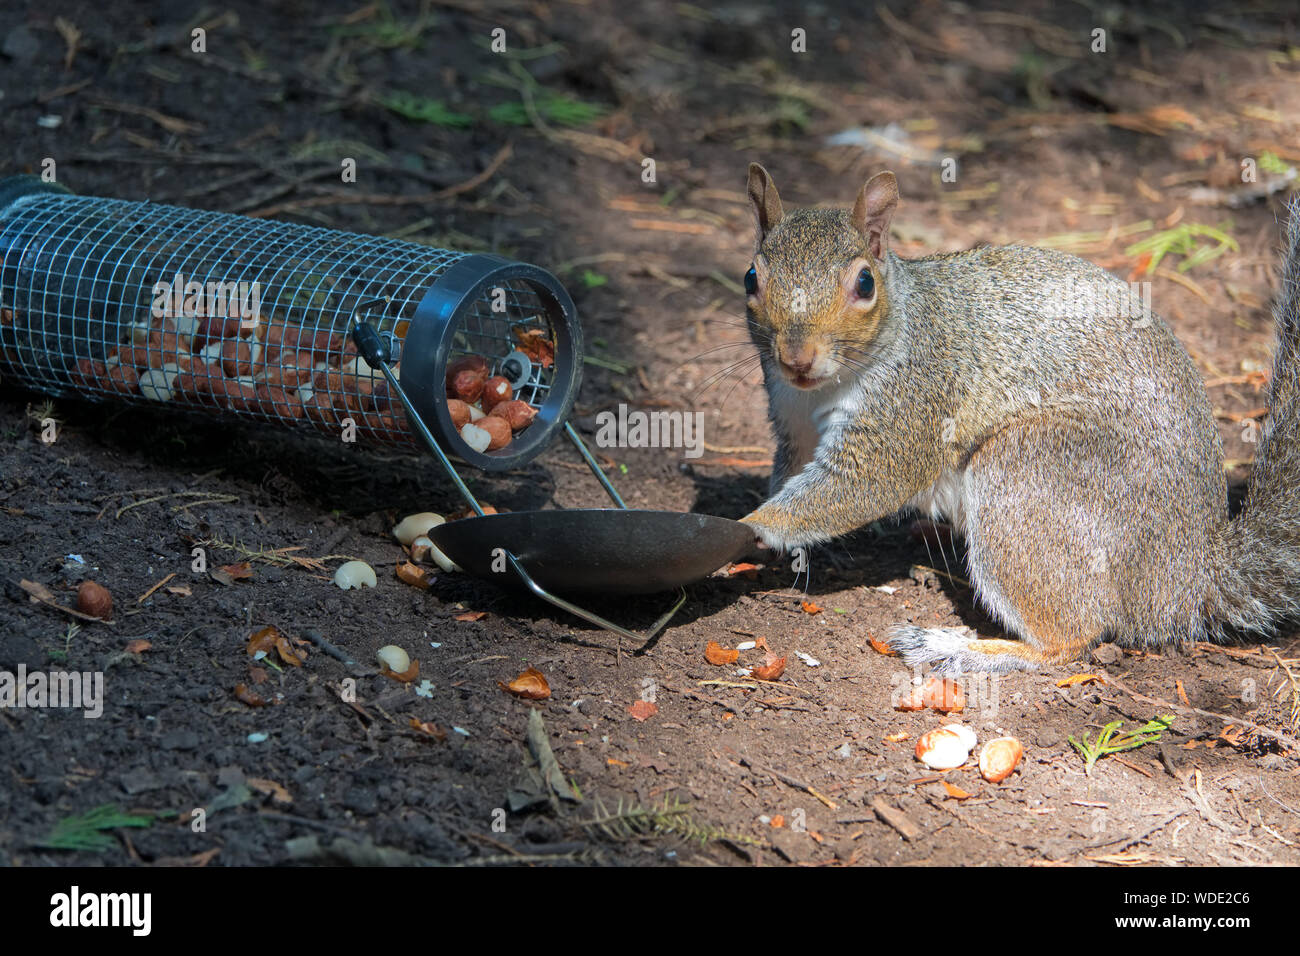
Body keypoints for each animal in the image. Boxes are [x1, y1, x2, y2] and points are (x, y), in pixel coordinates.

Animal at [737, 162, 1300, 674]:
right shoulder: (793, 424)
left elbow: (862, 484)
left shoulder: (909, 404)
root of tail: (1187, 577)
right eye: (751, 278)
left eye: (863, 283)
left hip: (1027, 471)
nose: (797, 358)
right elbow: (792, 473)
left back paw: (959, 648)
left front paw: (754, 526)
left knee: (1070, 639)